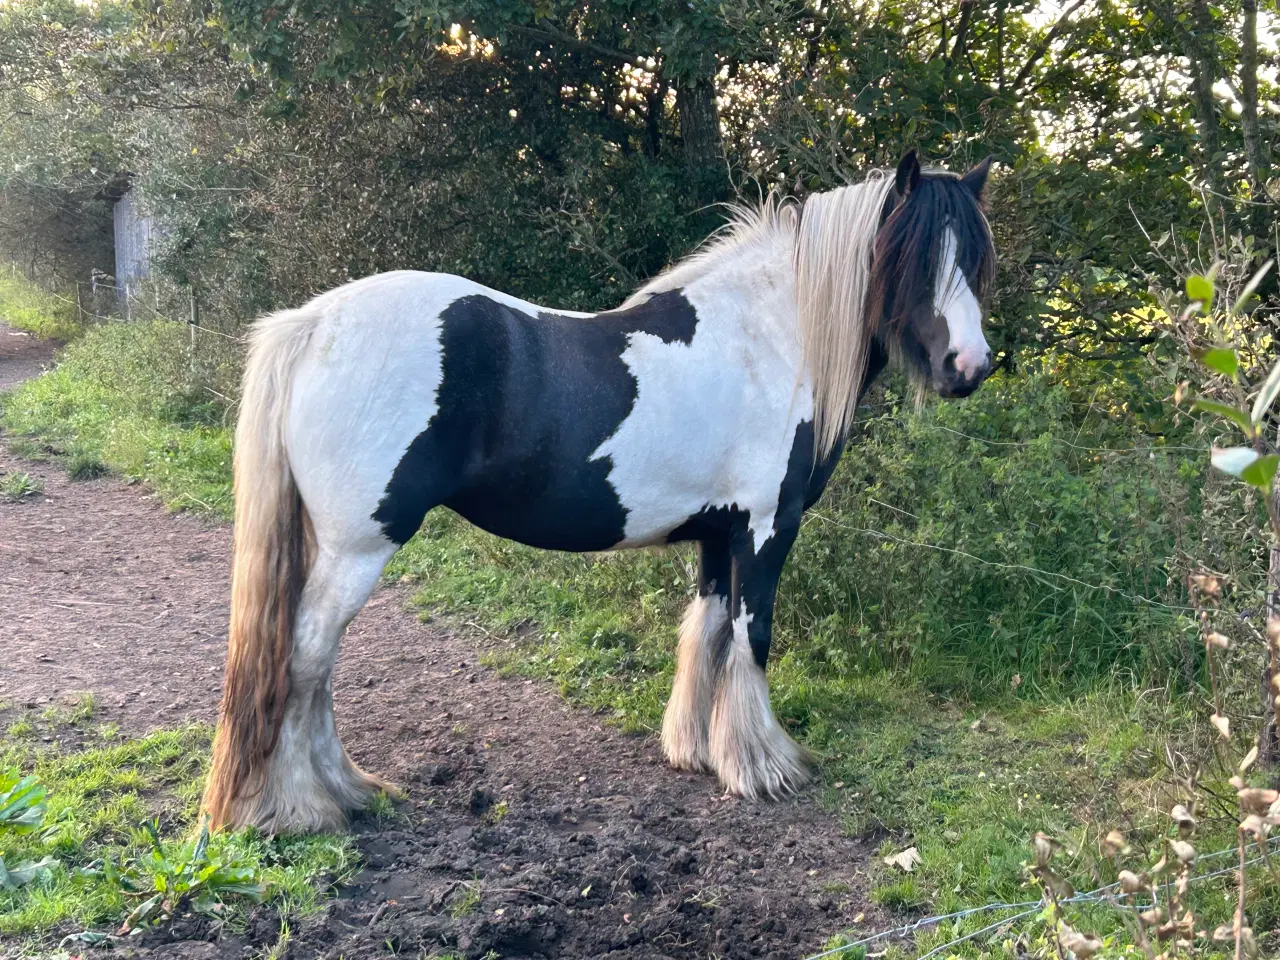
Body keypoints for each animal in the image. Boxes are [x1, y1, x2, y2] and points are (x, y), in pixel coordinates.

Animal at [202, 150, 998, 834]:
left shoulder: (719, 533)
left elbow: (707, 631)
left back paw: (348, 790)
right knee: (307, 656)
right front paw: (763, 765)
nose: (971, 366)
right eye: (913, 257)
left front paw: (697, 751)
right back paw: (304, 806)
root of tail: (311, 324)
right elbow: (752, 636)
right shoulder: (767, 527)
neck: (769, 338)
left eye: (974, 260)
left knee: (315, 664)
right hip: (359, 546)